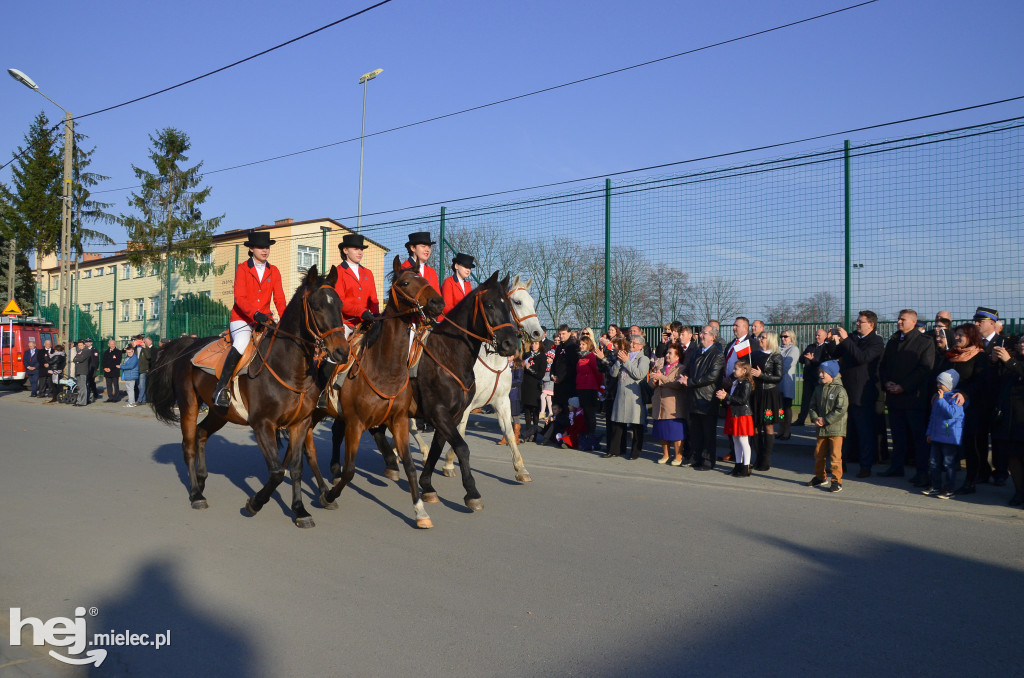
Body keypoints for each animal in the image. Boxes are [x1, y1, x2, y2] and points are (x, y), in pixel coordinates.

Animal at [146, 266, 350, 532]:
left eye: (340, 305)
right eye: (316, 306)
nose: (342, 352)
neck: (288, 368)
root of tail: (189, 343)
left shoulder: (300, 424)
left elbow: (295, 468)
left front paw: (300, 510)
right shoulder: (263, 424)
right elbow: (276, 471)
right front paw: (254, 503)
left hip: (219, 412)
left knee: (201, 434)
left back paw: (201, 481)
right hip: (189, 405)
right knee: (188, 445)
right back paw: (196, 494)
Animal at [305, 258, 446, 528]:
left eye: (426, 279)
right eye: (405, 282)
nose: (438, 302)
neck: (385, 369)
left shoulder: (399, 421)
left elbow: (410, 466)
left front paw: (420, 511)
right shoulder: (356, 424)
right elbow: (350, 470)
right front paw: (330, 495)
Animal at [411, 276, 548, 483]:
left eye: (532, 301)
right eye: (517, 302)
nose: (538, 333)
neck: (492, 362)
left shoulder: (502, 401)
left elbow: (509, 432)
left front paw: (521, 468)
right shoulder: (465, 405)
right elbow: (460, 432)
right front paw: (449, 462)